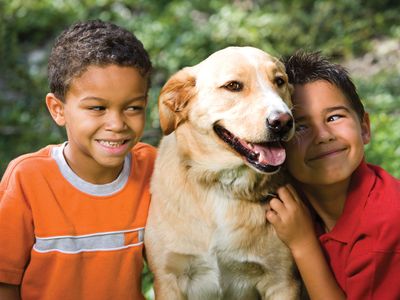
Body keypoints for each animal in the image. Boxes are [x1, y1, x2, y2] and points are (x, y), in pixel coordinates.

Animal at [145, 47, 300, 300]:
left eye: (279, 81)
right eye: (233, 86)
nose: (283, 121)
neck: (221, 185)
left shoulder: (282, 282)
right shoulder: (169, 281)